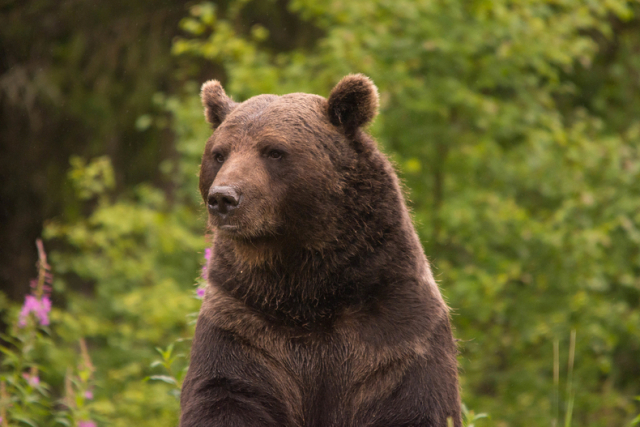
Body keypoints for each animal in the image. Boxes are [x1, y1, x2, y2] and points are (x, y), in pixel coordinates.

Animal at [180, 75, 460, 426]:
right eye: (219, 154)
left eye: (274, 151)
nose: (223, 198)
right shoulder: (242, 321)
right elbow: (227, 392)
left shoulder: (396, 329)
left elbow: (410, 399)